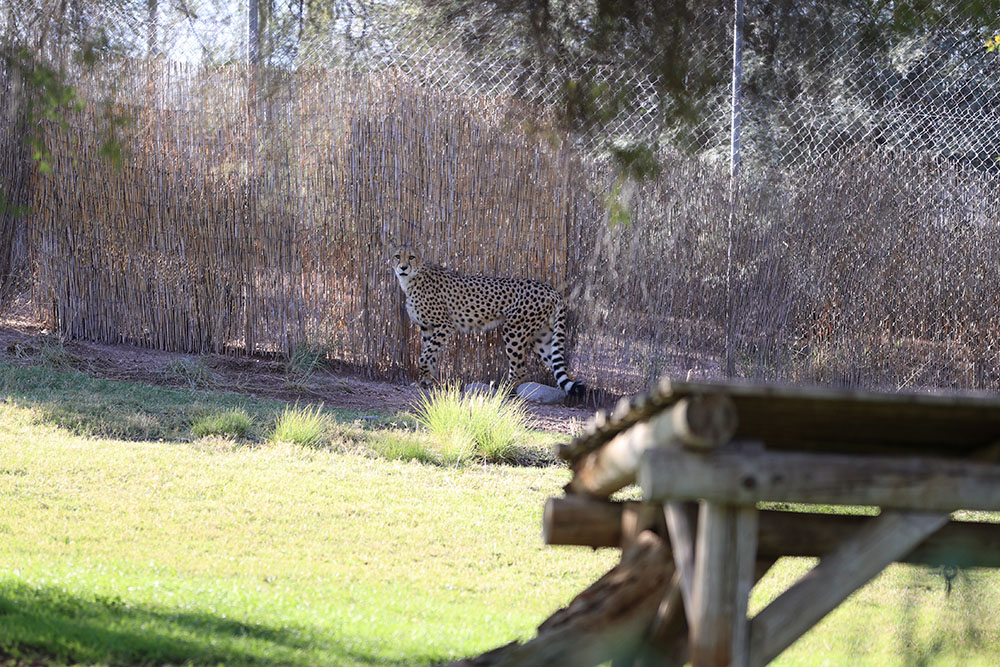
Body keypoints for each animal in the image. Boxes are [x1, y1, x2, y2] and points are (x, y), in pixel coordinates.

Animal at [390, 244, 584, 396]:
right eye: (397, 256)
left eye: (411, 257)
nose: (403, 267)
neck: (412, 279)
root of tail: (551, 290)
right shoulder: (428, 328)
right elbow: (429, 355)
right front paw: (426, 381)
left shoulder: (445, 325)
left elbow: (424, 356)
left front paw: (425, 380)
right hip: (541, 337)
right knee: (556, 364)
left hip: (514, 329)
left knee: (520, 369)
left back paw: (503, 391)